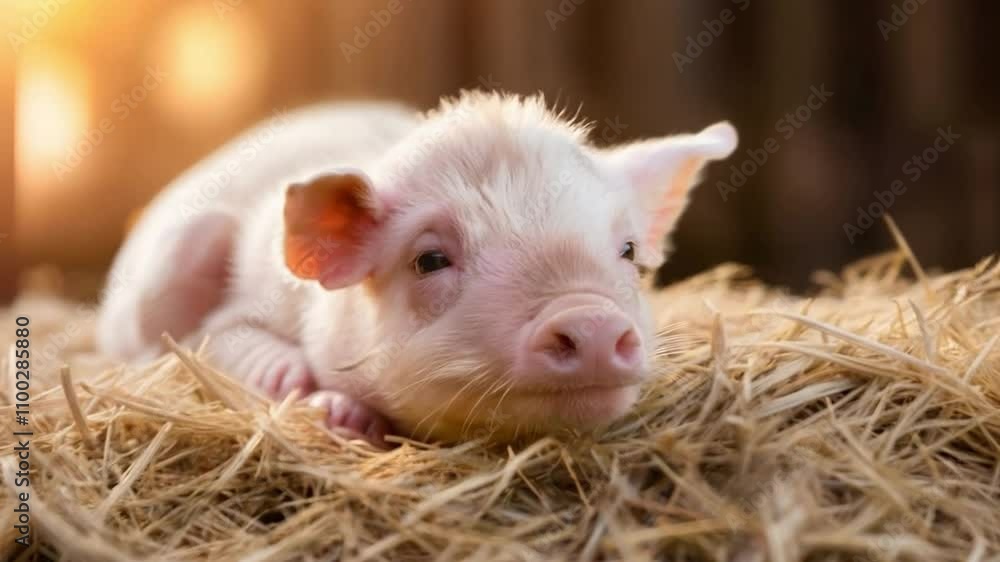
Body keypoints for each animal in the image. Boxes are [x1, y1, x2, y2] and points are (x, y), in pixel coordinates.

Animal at [97, 91, 738, 444]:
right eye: (430, 259)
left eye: (627, 251)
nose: (591, 320)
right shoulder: (240, 309)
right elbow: (215, 338)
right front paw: (331, 408)